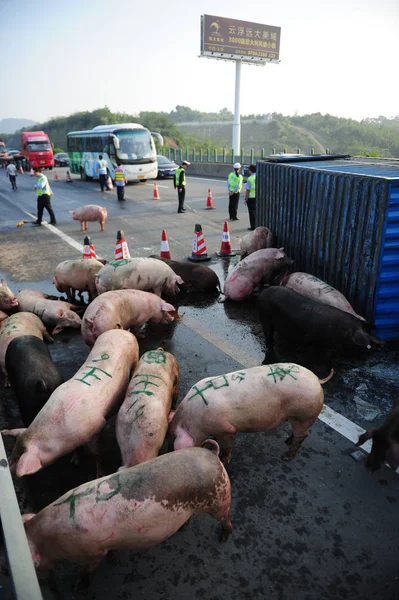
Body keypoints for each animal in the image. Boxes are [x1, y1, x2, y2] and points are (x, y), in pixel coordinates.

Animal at [1, 328, 139, 478]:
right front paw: (74, 461)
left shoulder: (96, 428)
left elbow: (96, 454)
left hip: (135, 353)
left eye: (17, 458)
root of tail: (119, 330)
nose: (7, 466)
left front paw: (99, 475)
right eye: (14, 450)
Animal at [20, 442, 233, 576]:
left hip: (221, 496)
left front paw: (78, 586)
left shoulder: (93, 553)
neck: (49, 542)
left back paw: (223, 539)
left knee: (227, 520)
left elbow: (88, 570)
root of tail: (211, 454)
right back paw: (183, 528)